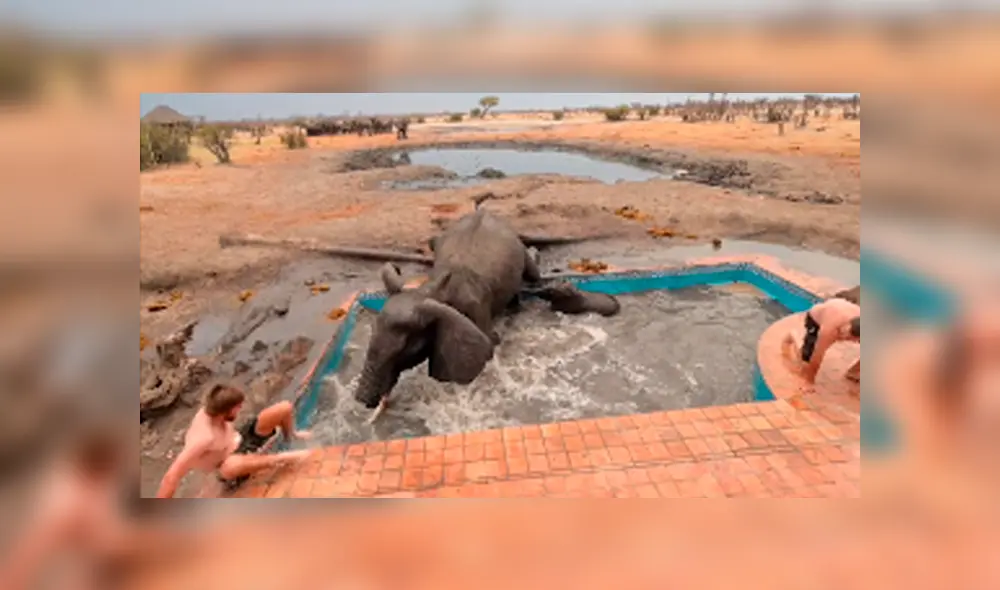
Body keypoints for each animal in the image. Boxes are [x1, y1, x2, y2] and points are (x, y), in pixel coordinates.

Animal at [353, 207, 620, 414]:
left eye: (404, 348)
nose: (363, 404)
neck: (431, 289)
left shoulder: (476, 308)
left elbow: (491, 343)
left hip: (518, 246)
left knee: (533, 272)